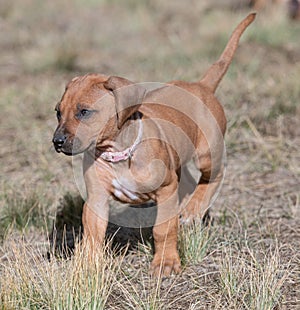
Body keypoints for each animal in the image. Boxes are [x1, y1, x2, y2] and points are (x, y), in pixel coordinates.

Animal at [52, 13, 254, 276]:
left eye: (84, 112)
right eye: (58, 112)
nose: (57, 141)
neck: (120, 153)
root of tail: (201, 86)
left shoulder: (166, 189)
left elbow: (163, 229)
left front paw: (166, 262)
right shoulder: (97, 198)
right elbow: (93, 234)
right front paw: (87, 265)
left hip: (207, 154)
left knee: (213, 176)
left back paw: (194, 209)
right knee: (189, 182)